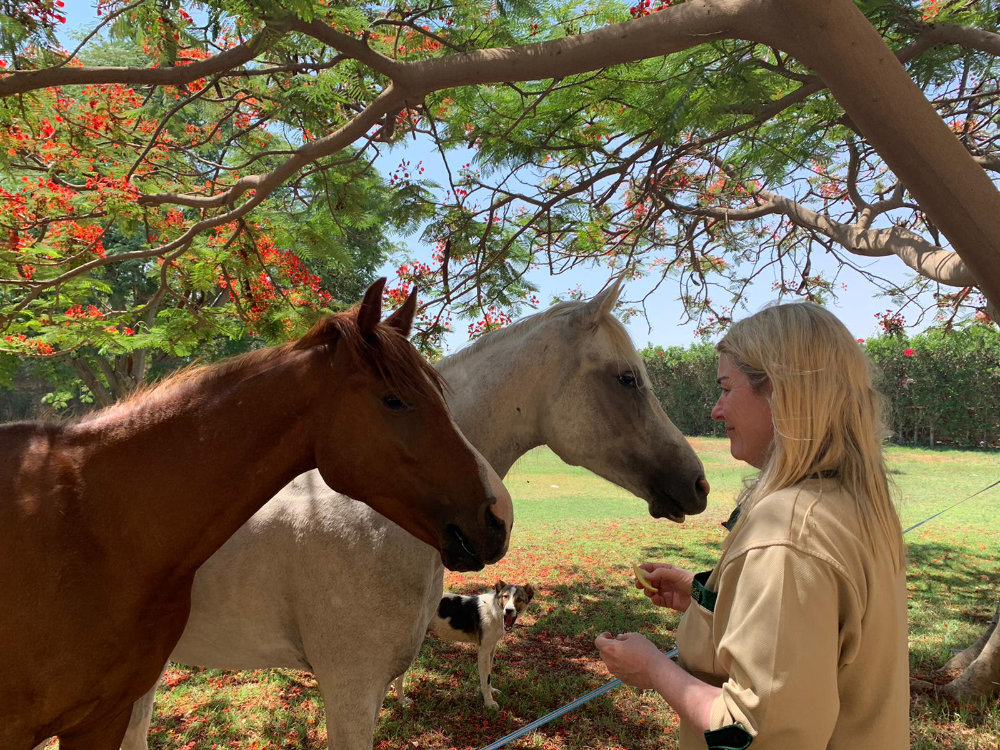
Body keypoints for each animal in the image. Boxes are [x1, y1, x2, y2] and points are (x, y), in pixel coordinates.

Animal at [390, 580, 536, 712]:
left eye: (519, 599)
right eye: (505, 596)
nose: (509, 610)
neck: (495, 610)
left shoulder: (491, 650)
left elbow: (489, 675)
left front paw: (492, 691)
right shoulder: (483, 651)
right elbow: (486, 680)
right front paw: (489, 703)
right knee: (397, 677)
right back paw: (402, 701)